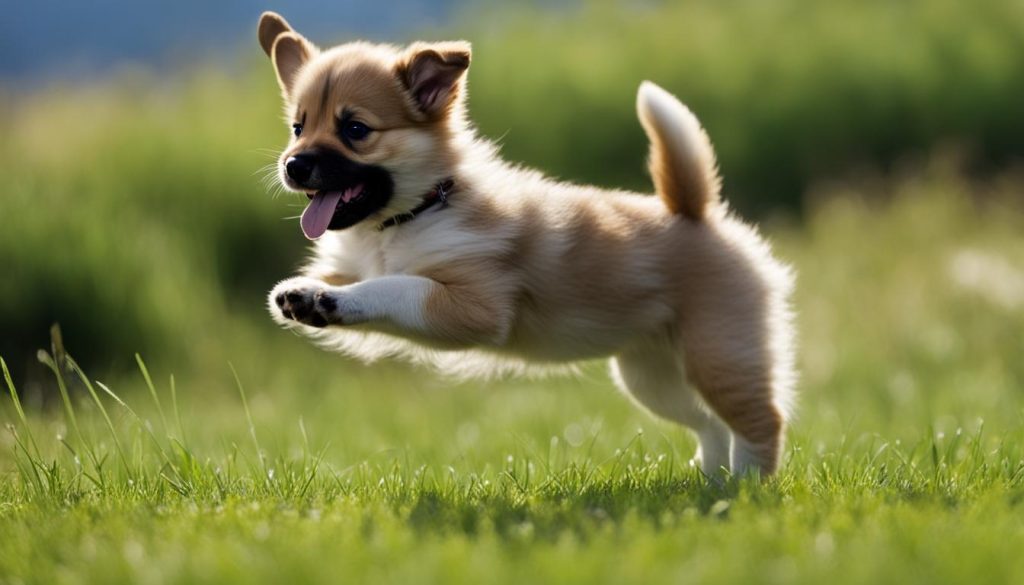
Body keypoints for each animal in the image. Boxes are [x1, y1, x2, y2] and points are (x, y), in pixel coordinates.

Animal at [258, 12, 798, 475]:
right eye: (298, 127)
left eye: (355, 129)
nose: (293, 165)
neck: (411, 214)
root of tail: (697, 213)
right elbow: (357, 283)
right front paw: (303, 294)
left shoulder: (474, 304)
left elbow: (394, 287)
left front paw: (326, 298)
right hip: (651, 376)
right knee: (709, 423)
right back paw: (713, 483)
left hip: (719, 354)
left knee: (761, 421)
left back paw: (747, 485)